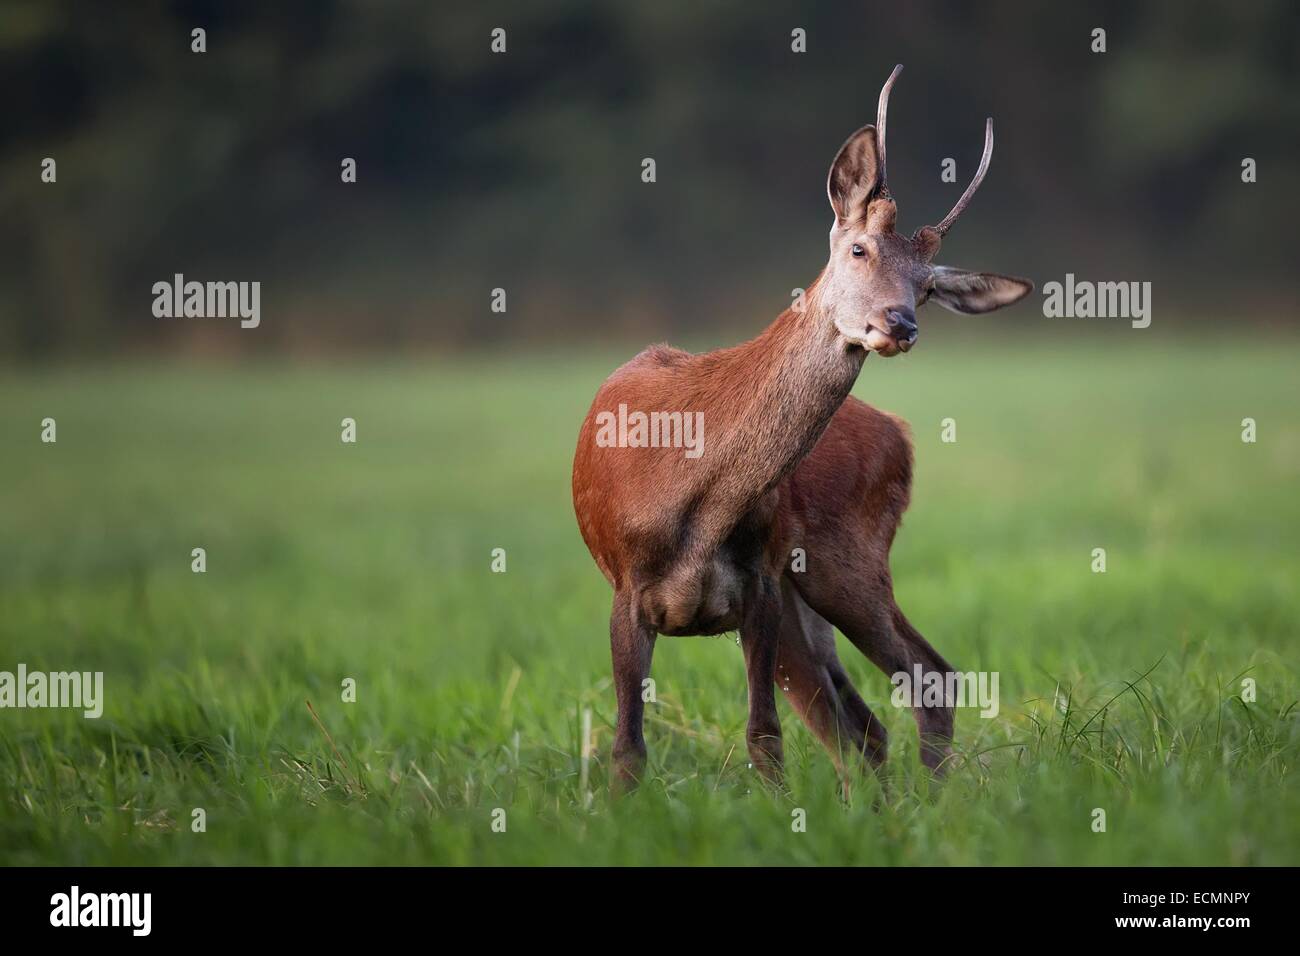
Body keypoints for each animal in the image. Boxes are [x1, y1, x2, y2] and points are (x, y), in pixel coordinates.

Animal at [574, 63, 1029, 790]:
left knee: (925, 679)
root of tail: (899, 433)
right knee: (861, 721)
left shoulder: (759, 585)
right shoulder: (627, 584)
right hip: (809, 598)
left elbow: (764, 737)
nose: (901, 324)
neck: (695, 494)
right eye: (858, 248)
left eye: (928, 287)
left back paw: (933, 801)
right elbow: (628, 750)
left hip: (847, 559)